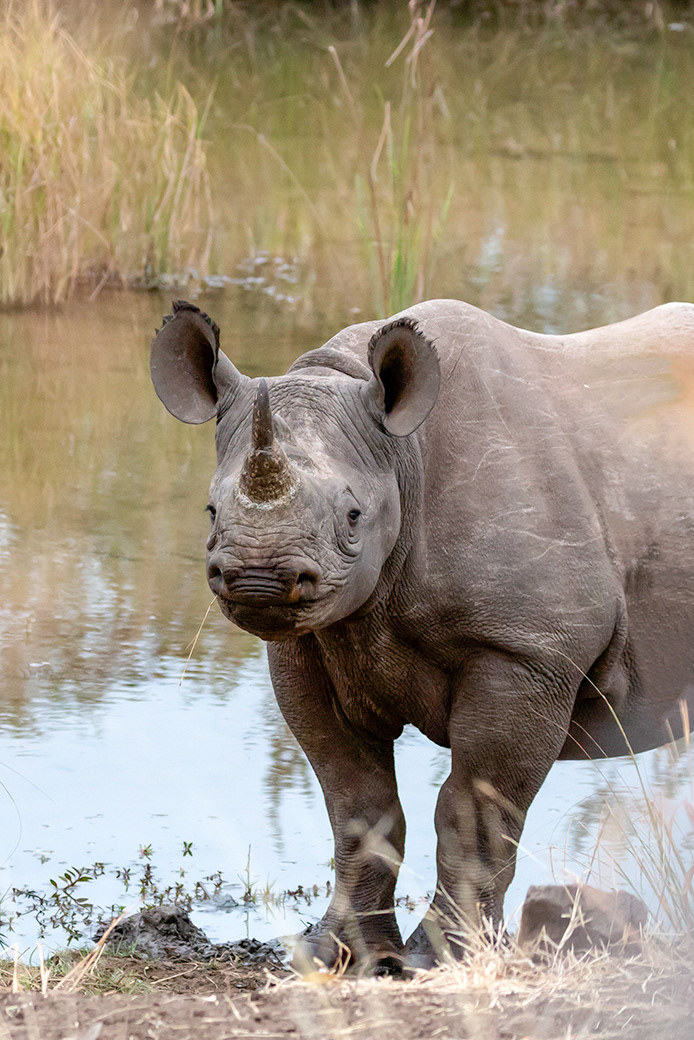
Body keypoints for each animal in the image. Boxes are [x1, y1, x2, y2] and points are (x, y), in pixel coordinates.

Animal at [151, 297, 694, 970]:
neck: (400, 458)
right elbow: (358, 804)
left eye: (353, 516)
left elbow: (473, 813)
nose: (257, 580)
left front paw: (442, 961)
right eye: (210, 512)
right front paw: (339, 954)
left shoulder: (527, 651)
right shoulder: (305, 649)